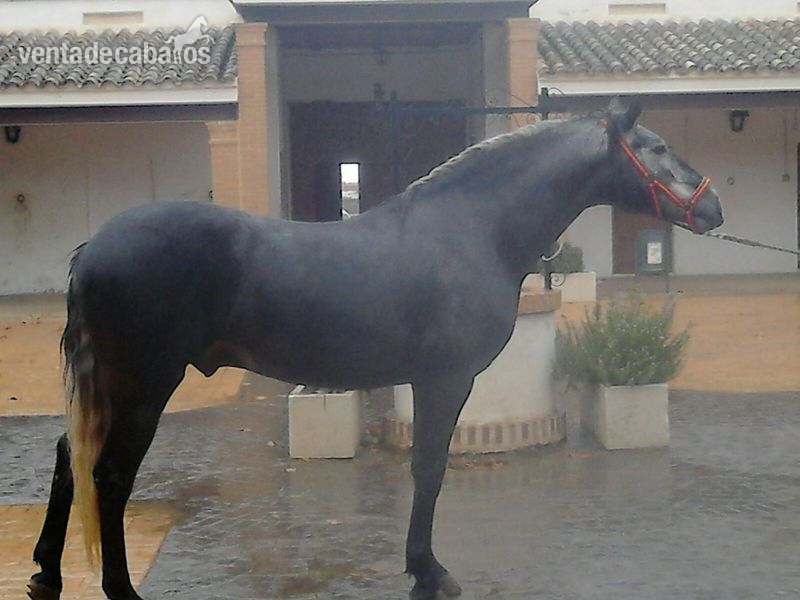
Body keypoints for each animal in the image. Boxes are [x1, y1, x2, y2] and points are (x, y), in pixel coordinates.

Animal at [28, 99, 722, 600]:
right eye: (657, 148)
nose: (712, 204)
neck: (471, 230)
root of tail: (95, 246)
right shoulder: (444, 379)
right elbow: (429, 469)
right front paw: (429, 571)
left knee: (68, 457)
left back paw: (46, 574)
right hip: (145, 382)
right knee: (108, 475)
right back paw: (118, 589)